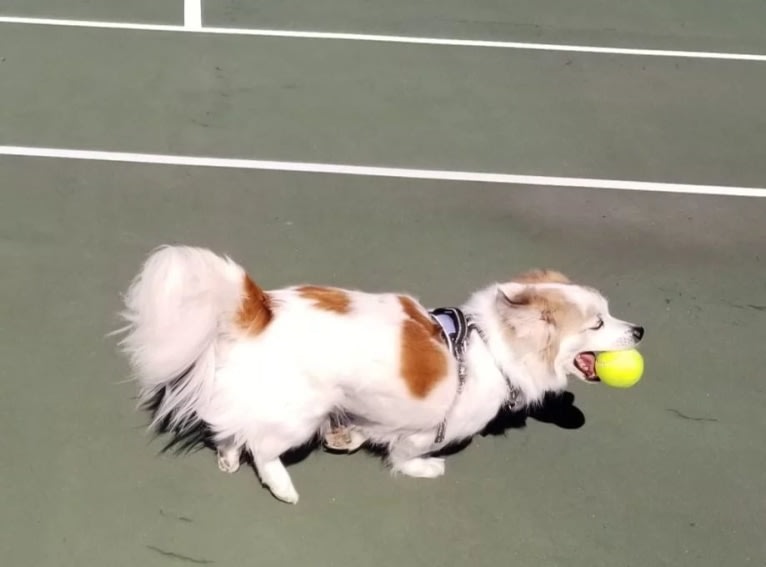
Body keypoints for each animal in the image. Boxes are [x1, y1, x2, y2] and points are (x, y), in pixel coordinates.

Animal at [117, 246, 644, 504]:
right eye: (598, 324)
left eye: (609, 314)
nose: (639, 330)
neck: (490, 348)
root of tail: (260, 308)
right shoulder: (428, 426)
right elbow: (408, 452)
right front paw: (423, 468)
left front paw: (347, 439)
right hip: (300, 413)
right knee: (264, 450)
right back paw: (283, 488)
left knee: (232, 428)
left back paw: (228, 457)